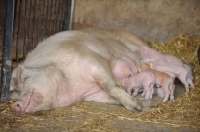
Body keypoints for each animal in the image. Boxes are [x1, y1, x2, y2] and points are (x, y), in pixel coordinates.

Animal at [9, 28, 156, 114]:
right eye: (16, 96)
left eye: (24, 79)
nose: (15, 105)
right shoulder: (93, 95)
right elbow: (111, 96)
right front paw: (145, 105)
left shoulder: (92, 60)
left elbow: (110, 86)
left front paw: (137, 107)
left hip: (138, 44)